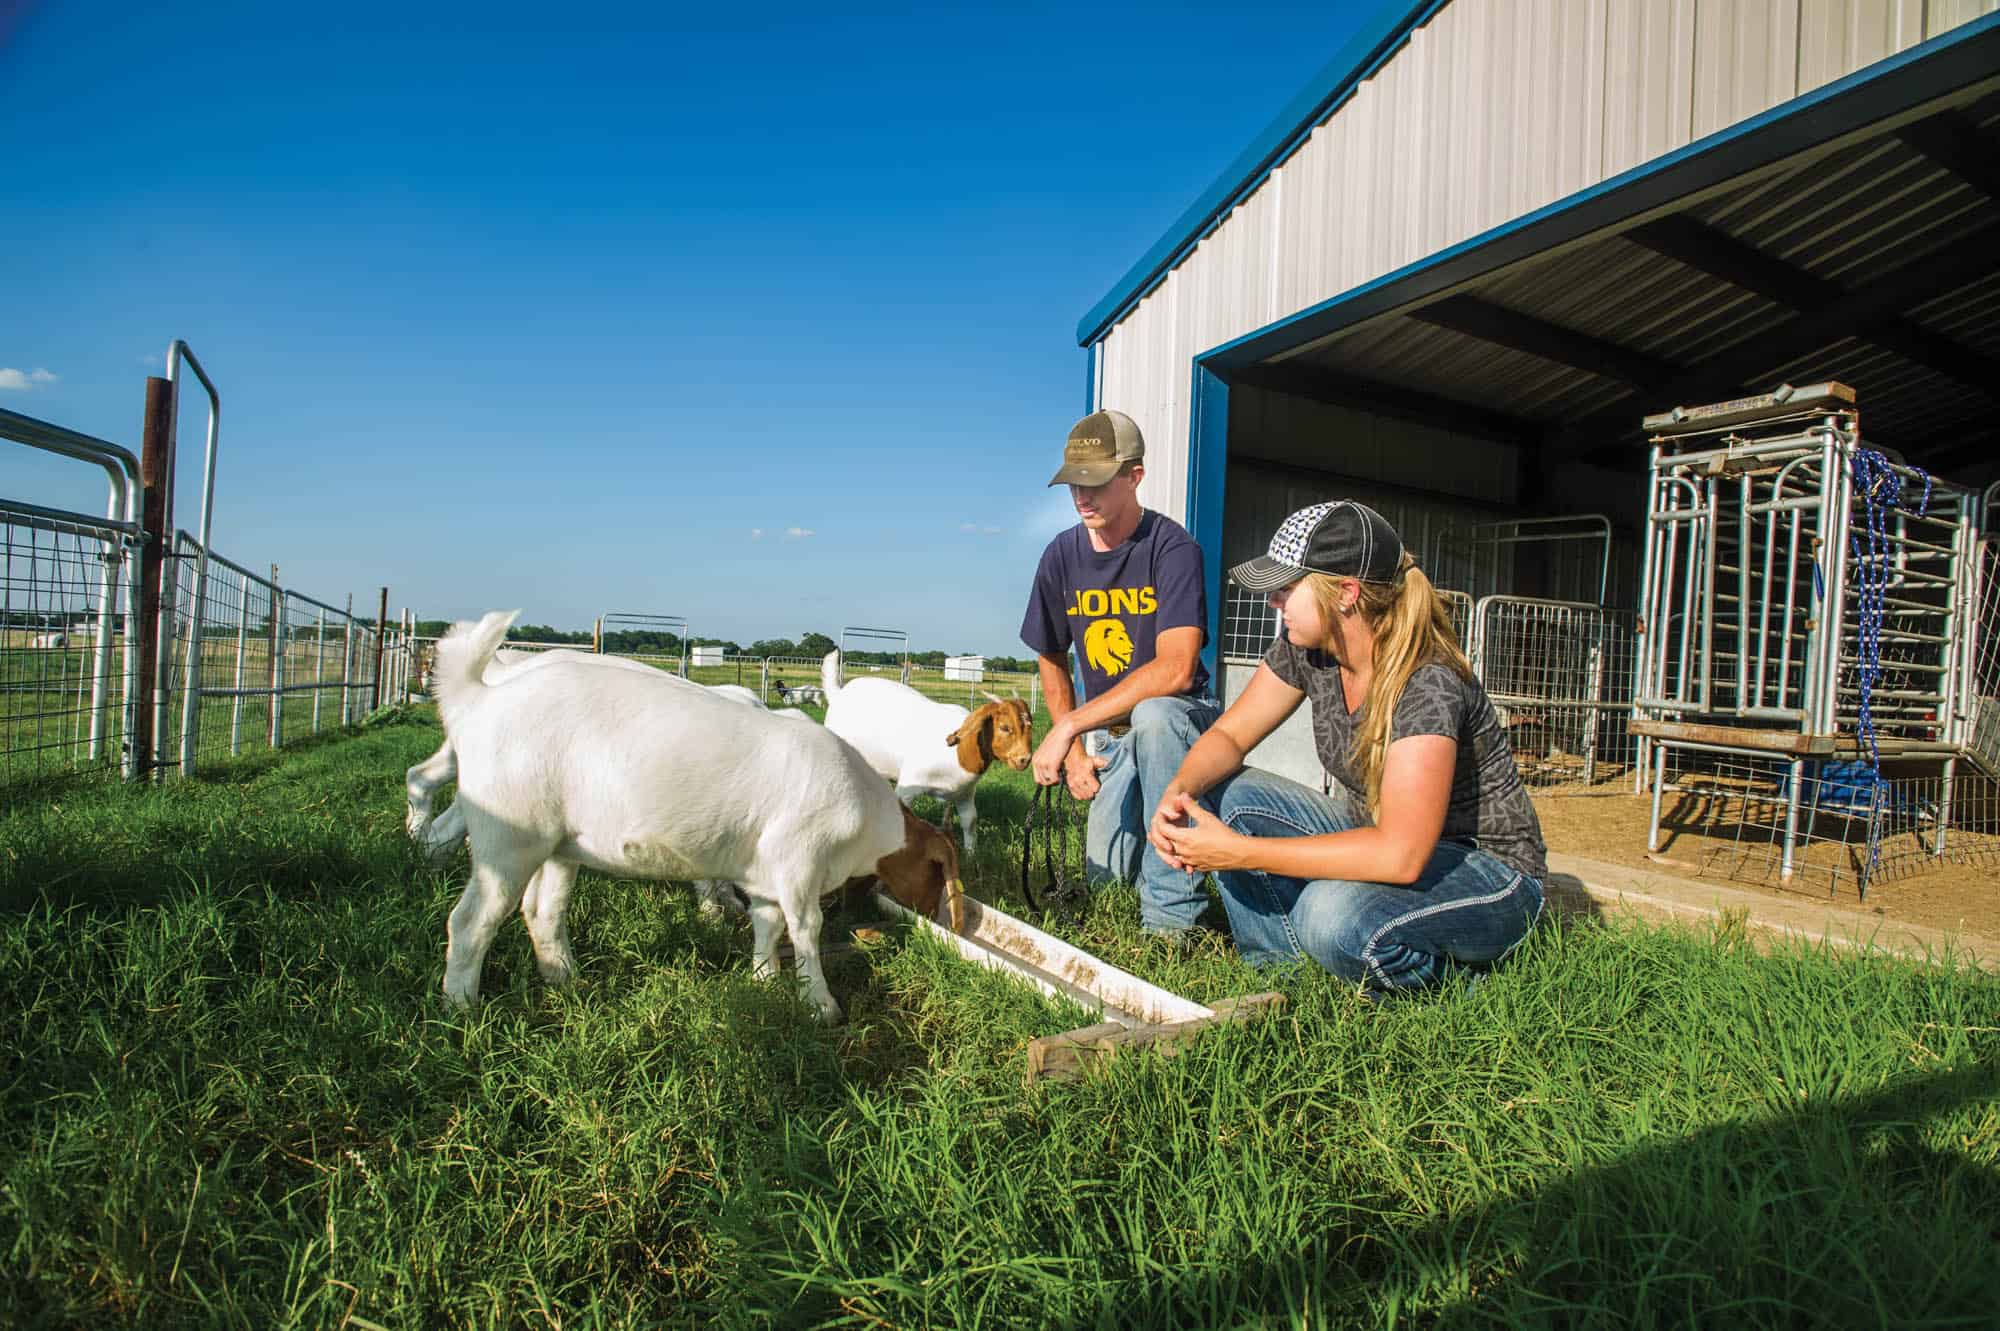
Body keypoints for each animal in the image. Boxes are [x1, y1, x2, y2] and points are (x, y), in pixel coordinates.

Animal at [434, 607, 964, 1019]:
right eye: (936, 870)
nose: (932, 919)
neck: (869, 821)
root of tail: (478, 699)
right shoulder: (798, 860)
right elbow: (805, 929)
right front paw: (821, 1005)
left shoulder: (765, 872)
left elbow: (768, 923)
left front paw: (764, 979)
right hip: (508, 838)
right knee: (470, 920)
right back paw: (462, 1008)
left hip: (558, 845)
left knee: (542, 910)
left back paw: (565, 979)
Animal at [816, 651, 1032, 851]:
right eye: (1005, 727)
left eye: (1030, 727)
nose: (1025, 759)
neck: (957, 752)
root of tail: (838, 694)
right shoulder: (908, 787)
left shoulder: (965, 793)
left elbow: (970, 821)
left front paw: (971, 854)